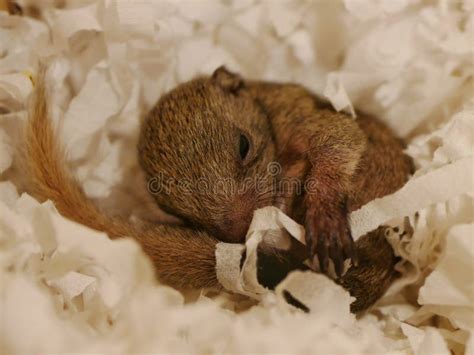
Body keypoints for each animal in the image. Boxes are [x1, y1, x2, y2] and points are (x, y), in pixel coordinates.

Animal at [25, 66, 412, 312]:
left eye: (243, 146)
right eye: (177, 212)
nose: (241, 228)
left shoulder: (298, 113)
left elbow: (338, 138)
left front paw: (325, 215)